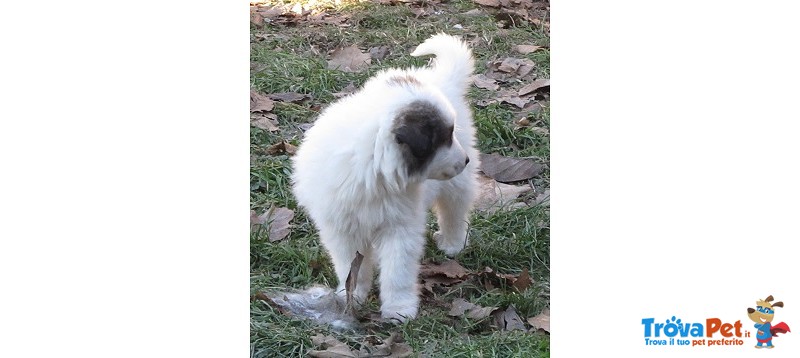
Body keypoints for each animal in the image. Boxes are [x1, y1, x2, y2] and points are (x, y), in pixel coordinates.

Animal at [294, 34, 482, 322]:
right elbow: (351, 268)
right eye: (445, 137)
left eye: (451, 133)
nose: (465, 160)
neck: (369, 164)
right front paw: (352, 297)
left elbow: (397, 271)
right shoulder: (341, 229)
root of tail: (439, 77)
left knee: (455, 209)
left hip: (455, 183)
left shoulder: (400, 227)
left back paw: (452, 243)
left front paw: (399, 309)